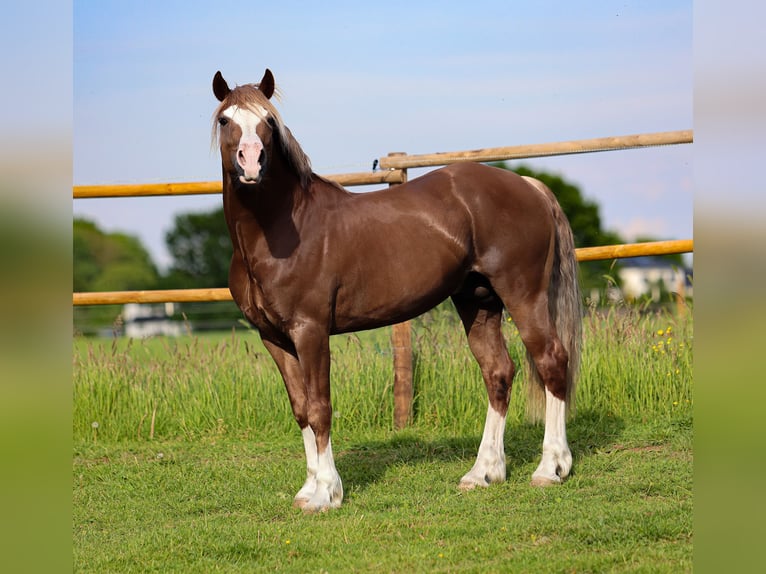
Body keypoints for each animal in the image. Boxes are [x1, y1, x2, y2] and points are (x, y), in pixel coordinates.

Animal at [210, 70, 584, 516]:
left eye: (268, 120)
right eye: (225, 120)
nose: (251, 162)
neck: (282, 229)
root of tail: (529, 185)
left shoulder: (310, 331)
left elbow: (320, 408)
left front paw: (327, 493)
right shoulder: (274, 338)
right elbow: (300, 409)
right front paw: (308, 489)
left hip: (523, 295)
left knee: (551, 361)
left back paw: (551, 468)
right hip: (478, 301)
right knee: (498, 372)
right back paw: (483, 473)